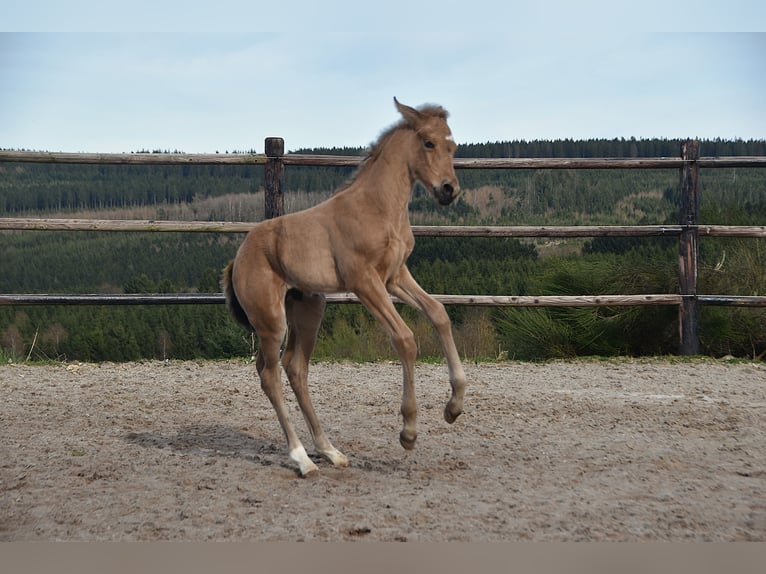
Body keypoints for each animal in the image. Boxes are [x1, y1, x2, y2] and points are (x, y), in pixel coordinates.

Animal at [223, 98, 468, 476]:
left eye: (453, 146)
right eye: (428, 142)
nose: (448, 190)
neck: (379, 208)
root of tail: (238, 259)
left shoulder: (395, 276)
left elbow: (438, 313)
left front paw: (453, 407)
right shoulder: (364, 281)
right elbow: (405, 339)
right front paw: (408, 432)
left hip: (310, 308)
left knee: (295, 368)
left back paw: (329, 451)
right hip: (271, 320)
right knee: (269, 375)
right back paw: (302, 458)